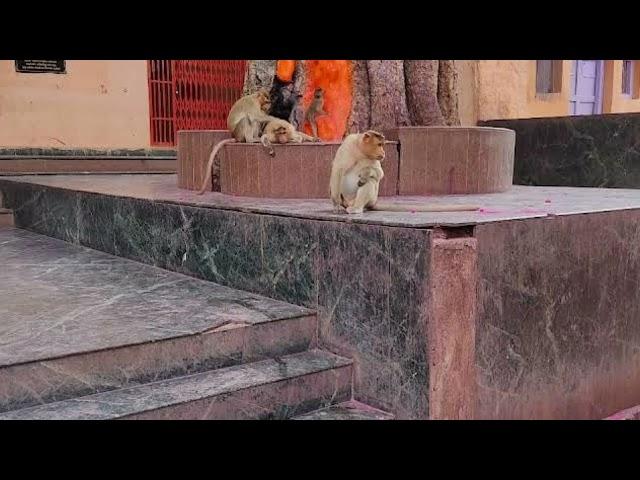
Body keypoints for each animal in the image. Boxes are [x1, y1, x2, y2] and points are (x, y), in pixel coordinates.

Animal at [330, 131, 480, 214]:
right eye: (379, 144)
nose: (383, 152)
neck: (361, 150)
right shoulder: (348, 144)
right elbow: (338, 169)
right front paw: (336, 203)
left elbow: (379, 173)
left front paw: (365, 173)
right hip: (347, 198)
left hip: (370, 199)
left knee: (370, 181)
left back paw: (357, 207)